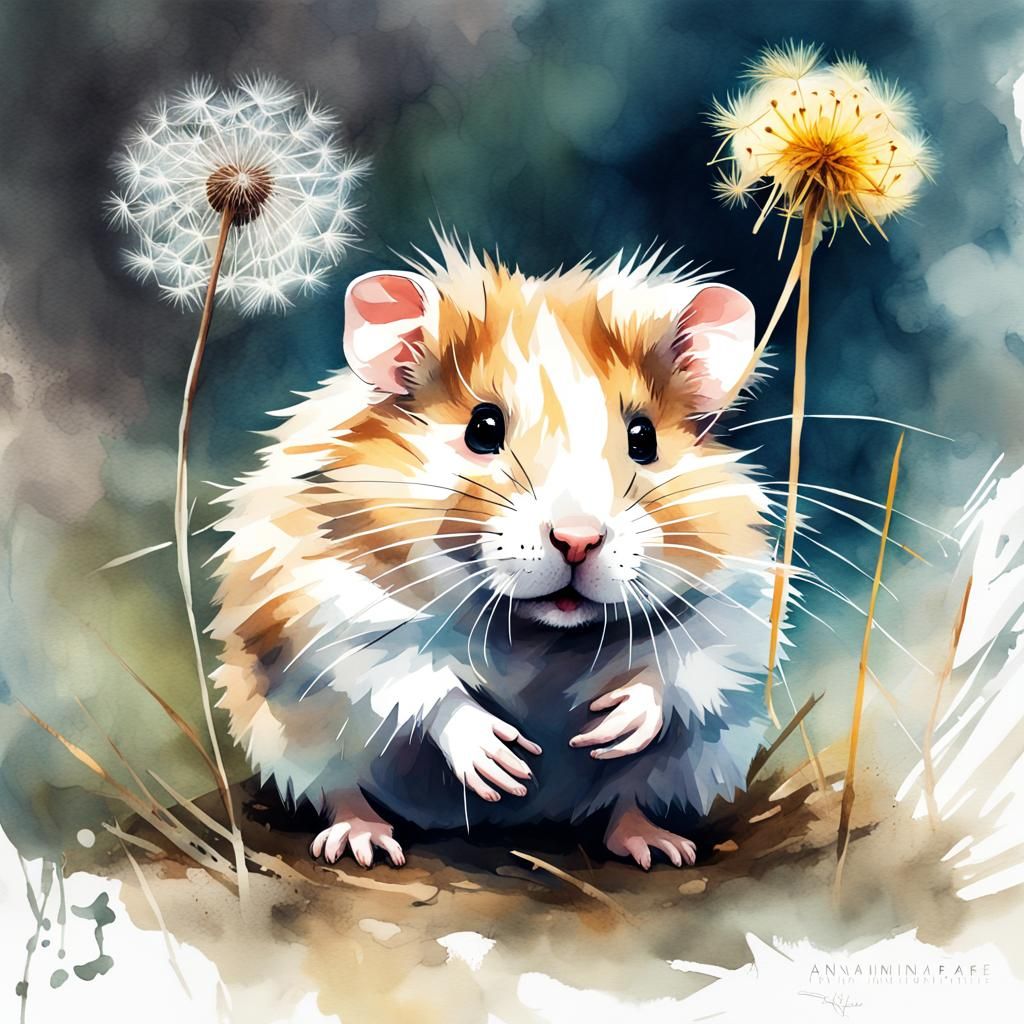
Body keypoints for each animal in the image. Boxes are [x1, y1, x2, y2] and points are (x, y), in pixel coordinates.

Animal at [208, 237, 776, 870]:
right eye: (483, 428)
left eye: (643, 438)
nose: (577, 539)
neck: (536, 632)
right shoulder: (325, 605)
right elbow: (415, 678)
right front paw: (504, 764)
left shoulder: (735, 604)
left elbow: (680, 668)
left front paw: (610, 726)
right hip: (301, 745)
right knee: (341, 791)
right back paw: (364, 841)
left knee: (627, 804)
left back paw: (658, 846)